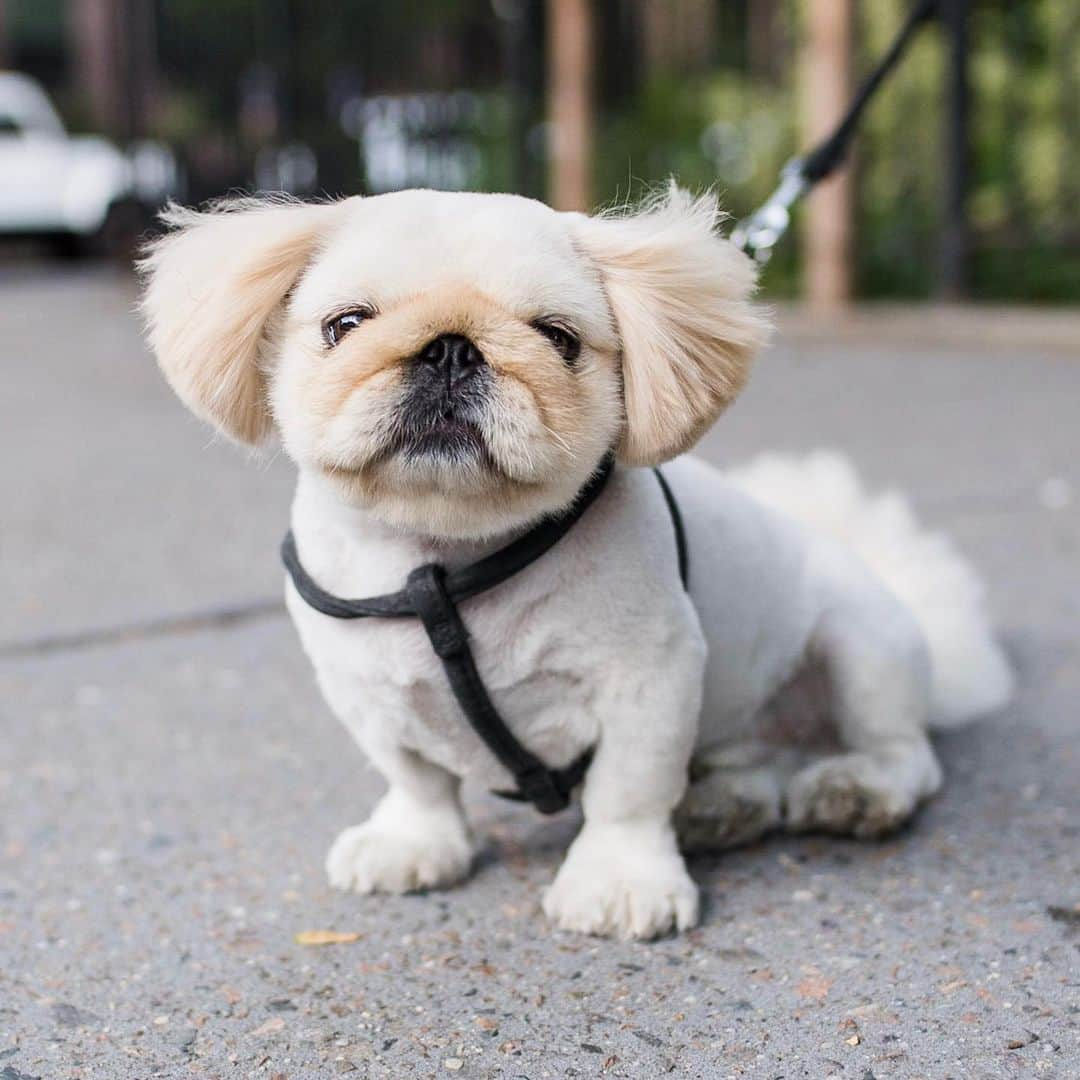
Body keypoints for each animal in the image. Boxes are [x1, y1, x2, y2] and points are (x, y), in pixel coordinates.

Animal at [137, 190, 1010, 941]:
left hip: (862, 648)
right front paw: (413, 845)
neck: (444, 562)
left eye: (556, 338)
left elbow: (628, 792)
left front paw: (619, 883)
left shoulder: (650, 680)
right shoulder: (367, 696)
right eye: (345, 324)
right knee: (758, 768)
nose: (450, 348)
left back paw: (854, 791)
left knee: (908, 756)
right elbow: (417, 782)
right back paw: (722, 810)